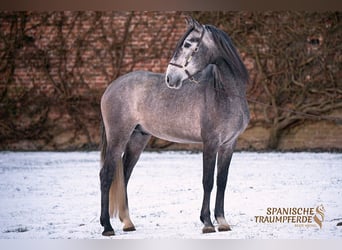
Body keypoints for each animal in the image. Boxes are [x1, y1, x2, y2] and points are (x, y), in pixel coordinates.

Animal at [99, 16, 248, 235]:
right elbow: (207, 181)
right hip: (118, 137)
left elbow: (222, 181)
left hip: (137, 139)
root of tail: (110, 88)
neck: (226, 93)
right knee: (106, 175)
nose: (170, 78)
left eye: (187, 44)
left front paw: (222, 221)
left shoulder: (229, 144)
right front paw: (207, 223)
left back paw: (127, 223)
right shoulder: (210, 143)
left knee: (124, 176)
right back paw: (107, 227)